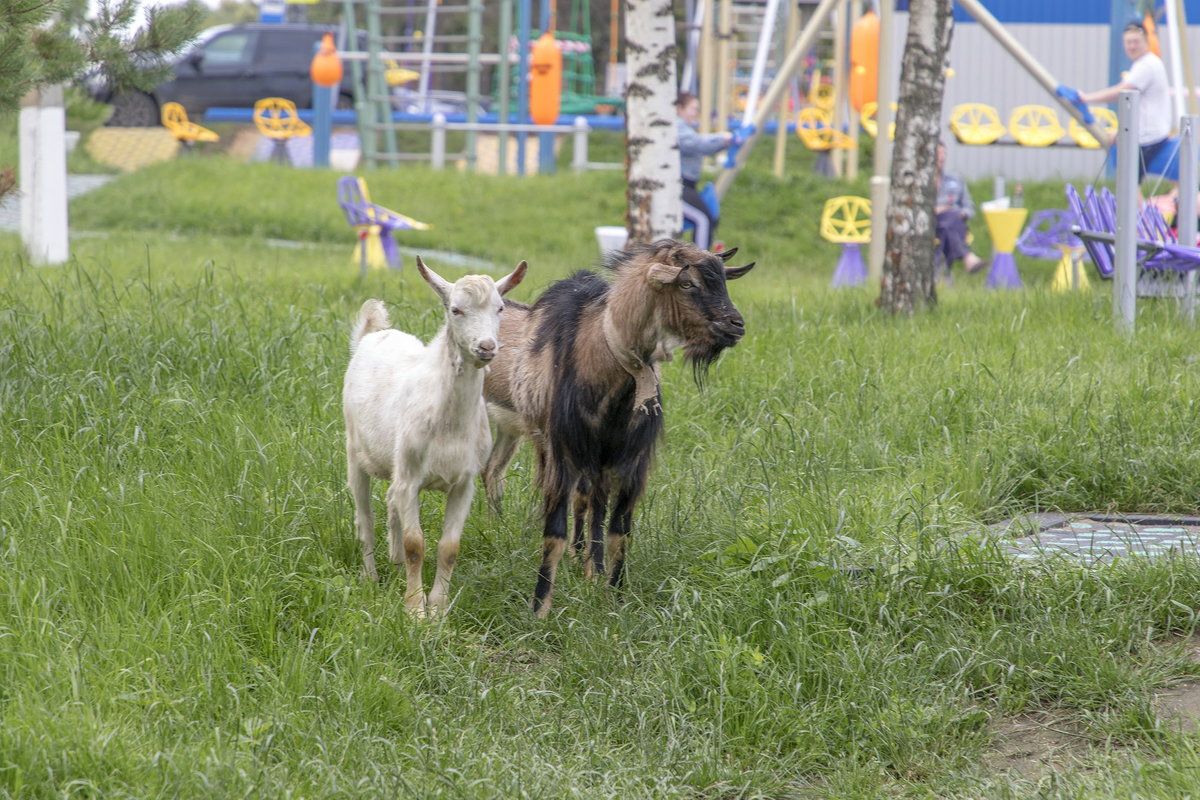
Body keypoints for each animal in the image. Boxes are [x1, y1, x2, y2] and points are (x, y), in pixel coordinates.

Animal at [340, 256, 523, 614]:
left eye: (500, 308)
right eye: (455, 309)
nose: (486, 347)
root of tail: (374, 335)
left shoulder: (464, 482)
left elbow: (449, 547)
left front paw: (438, 607)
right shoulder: (411, 476)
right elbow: (416, 544)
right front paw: (415, 609)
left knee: (390, 501)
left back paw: (395, 565)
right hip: (355, 450)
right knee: (364, 517)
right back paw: (371, 577)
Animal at [482, 241, 753, 618]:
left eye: (724, 282)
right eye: (688, 284)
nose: (736, 325)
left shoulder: (630, 460)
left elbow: (618, 532)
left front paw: (615, 597)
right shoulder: (564, 452)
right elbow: (554, 531)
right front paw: (540, 609)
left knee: (590, 503)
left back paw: (589, 567)